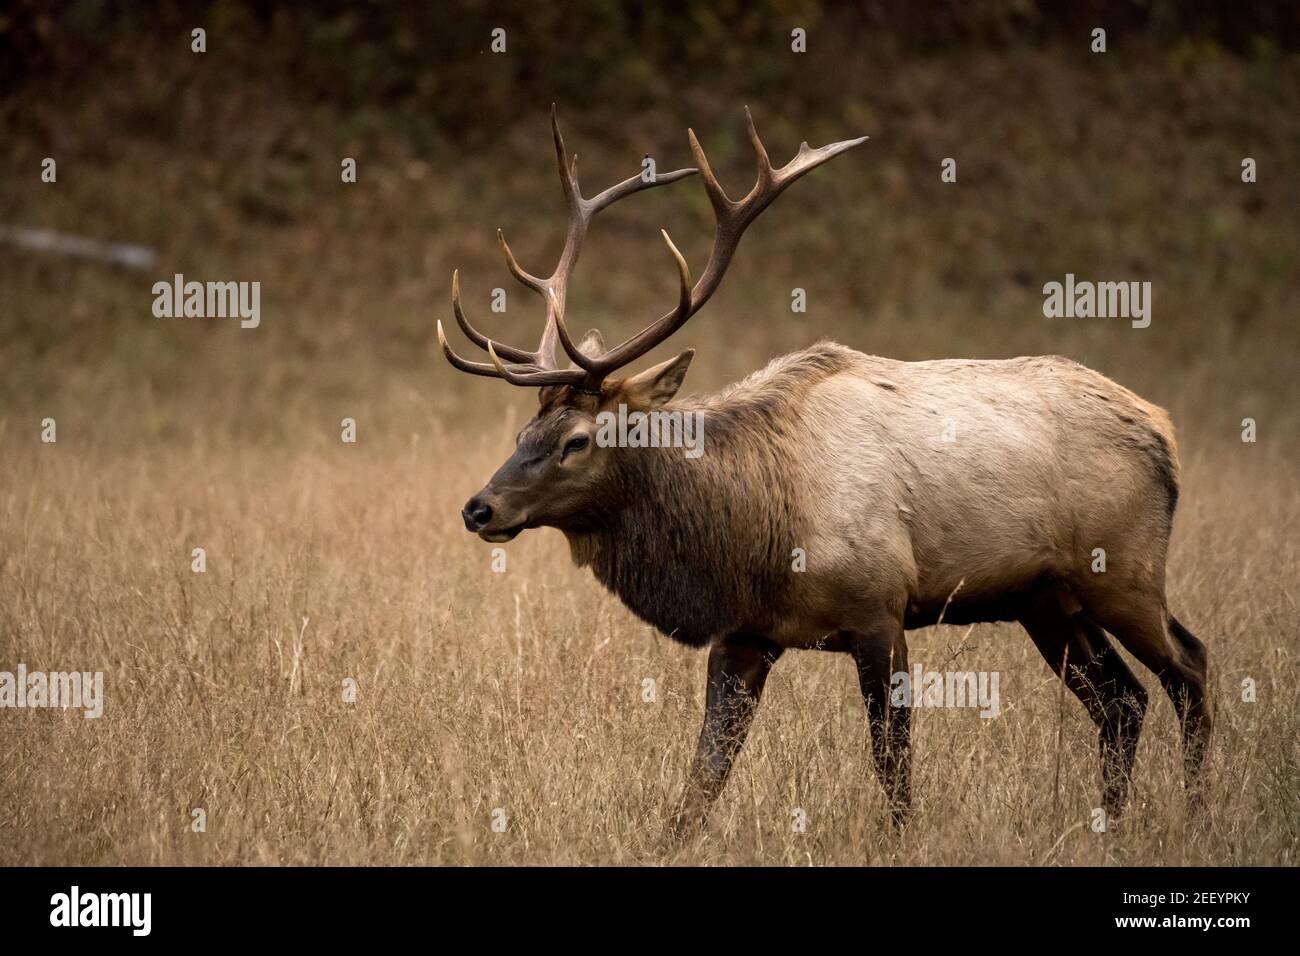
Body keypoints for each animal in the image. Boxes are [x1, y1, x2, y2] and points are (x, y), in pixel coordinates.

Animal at [436, 108, 1206, 832]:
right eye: (524, 430)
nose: (478, 507)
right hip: (1045, 598)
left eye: (576, 440)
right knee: (1123, 702)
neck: (756, 537)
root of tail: (1164, 429)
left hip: (1124, 569)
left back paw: (1197, 817)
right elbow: (702, 780)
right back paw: (1111, 824)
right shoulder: (744, 634)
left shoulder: (880, 608)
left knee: (1188, 666)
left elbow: (892, 765)